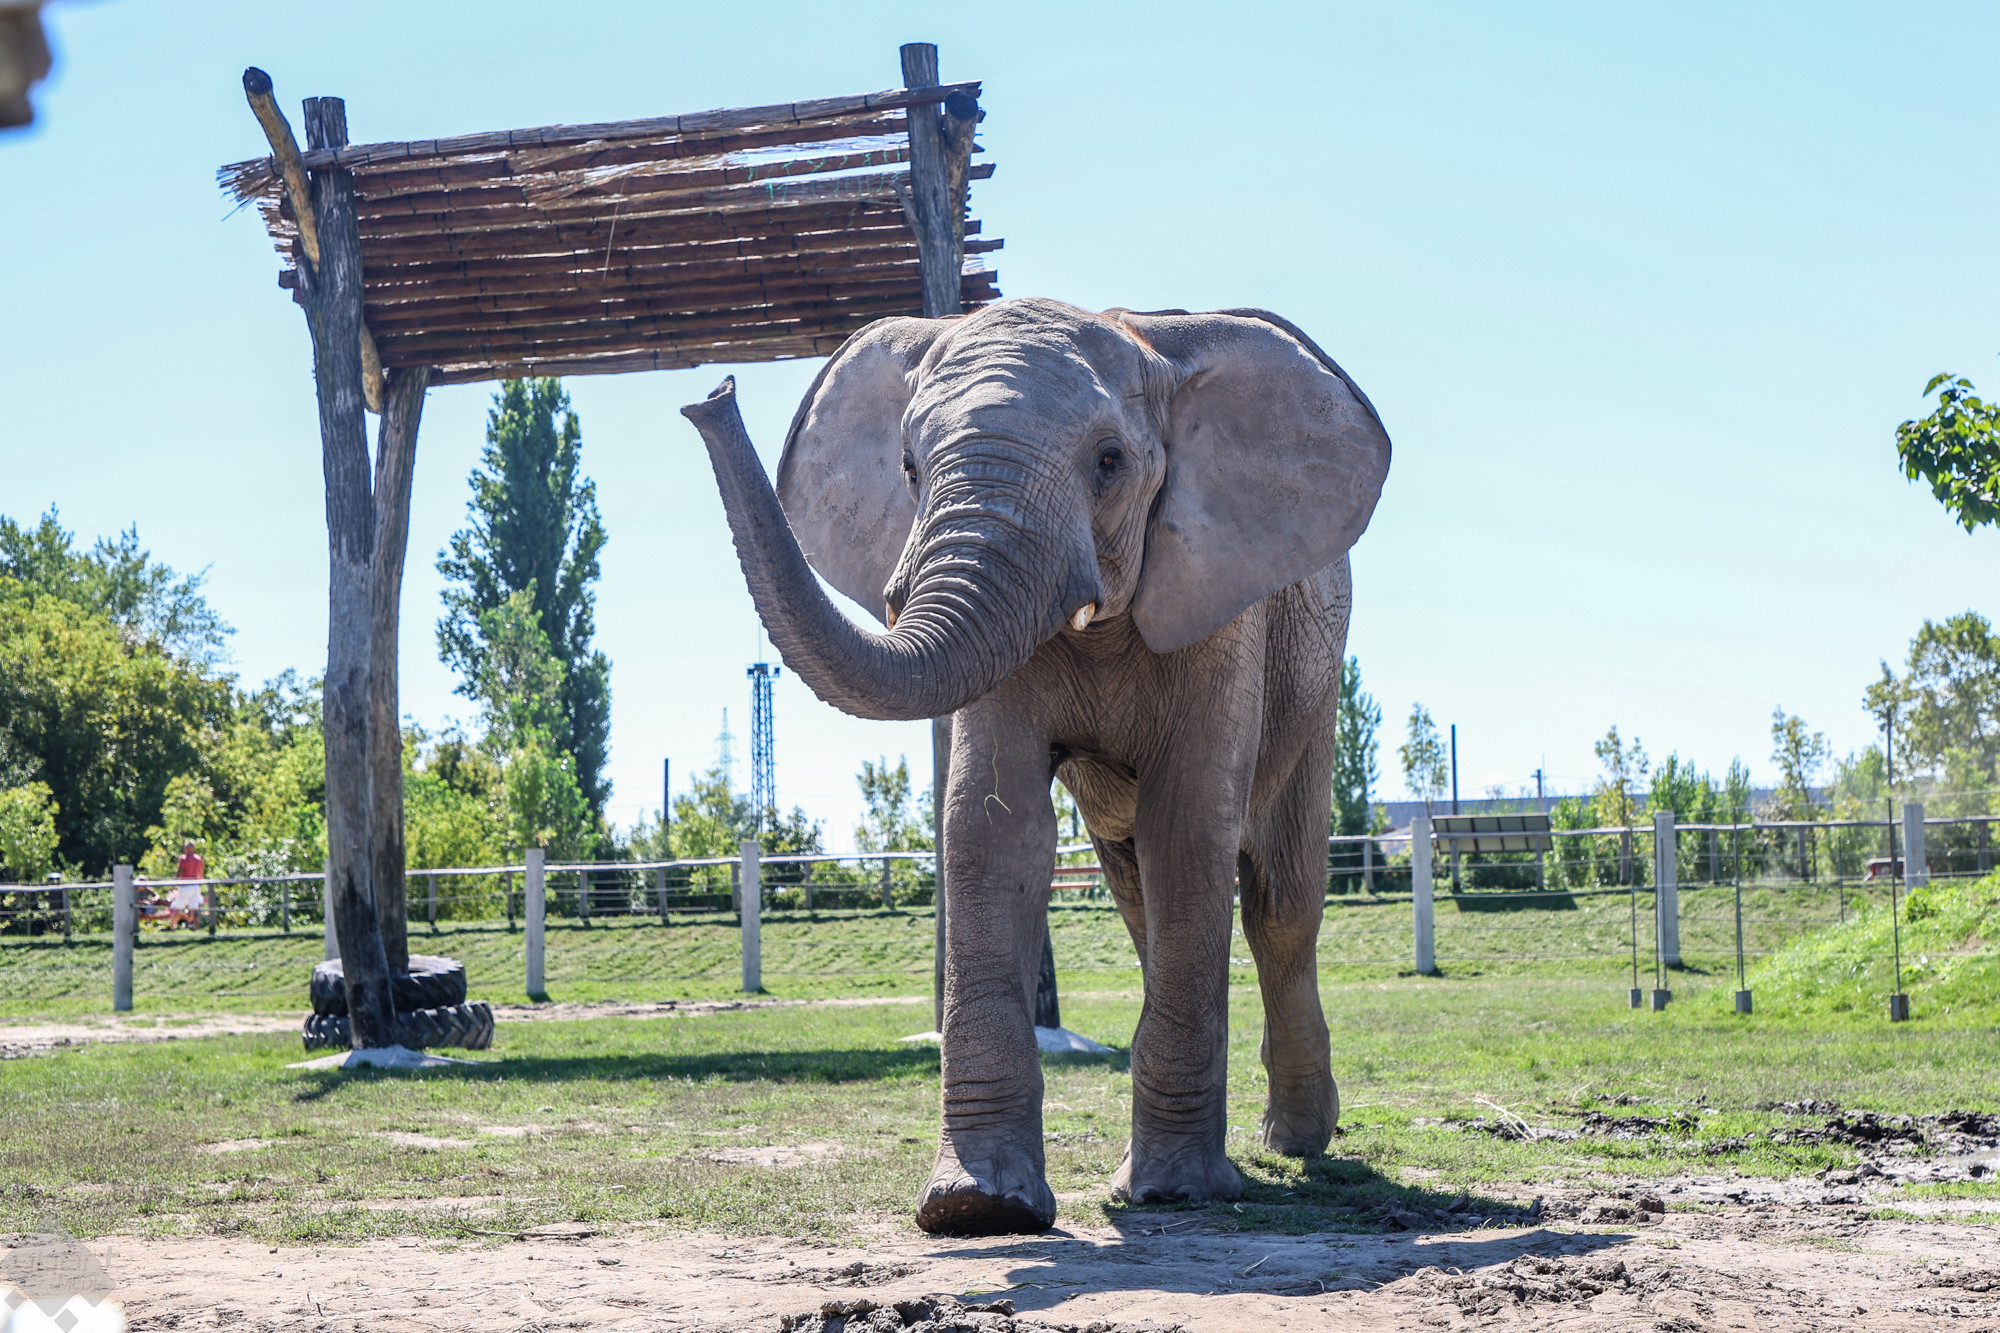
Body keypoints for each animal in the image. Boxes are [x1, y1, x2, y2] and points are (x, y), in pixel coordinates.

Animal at [679, 297, 1391, 1235]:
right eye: (908, 466)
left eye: (1110, 462)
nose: (712, 394)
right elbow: (992, 823)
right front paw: (975, 1207)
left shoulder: (1222, 609)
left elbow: (1189, 825)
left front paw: (1174, 1192)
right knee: (1140, 892)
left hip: (1315, 683)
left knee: (1279, 897)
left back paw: (1296, 1143)